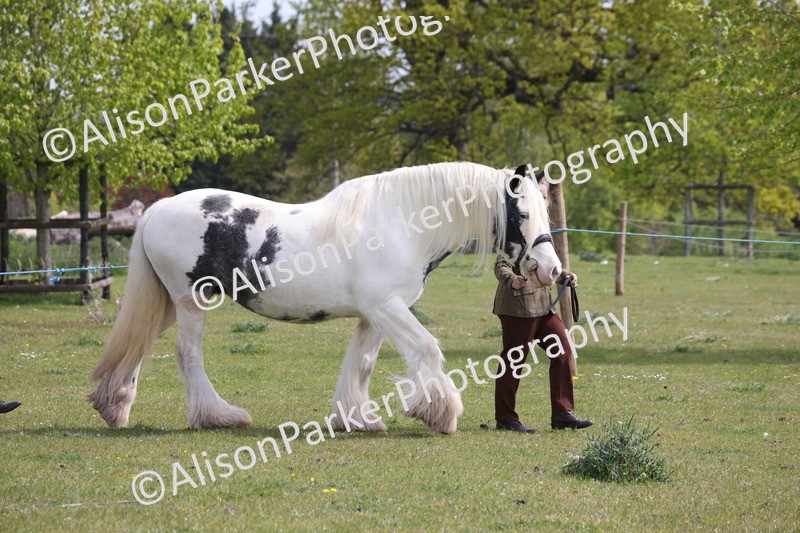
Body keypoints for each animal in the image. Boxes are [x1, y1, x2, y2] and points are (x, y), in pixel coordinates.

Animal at [88, 161, 562, 434]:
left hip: (166, 303)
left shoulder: (375, 315)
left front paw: (358, 418)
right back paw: (216, 416)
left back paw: (114, 407)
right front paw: (440, 412)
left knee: (139, 343)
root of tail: (156, 210)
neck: (402, 222)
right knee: (188, 356)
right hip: (190, 301)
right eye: (522, 213)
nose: (551, 270)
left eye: (545, 208)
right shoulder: (386, 309)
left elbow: (362, 365)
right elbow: (427, 348)